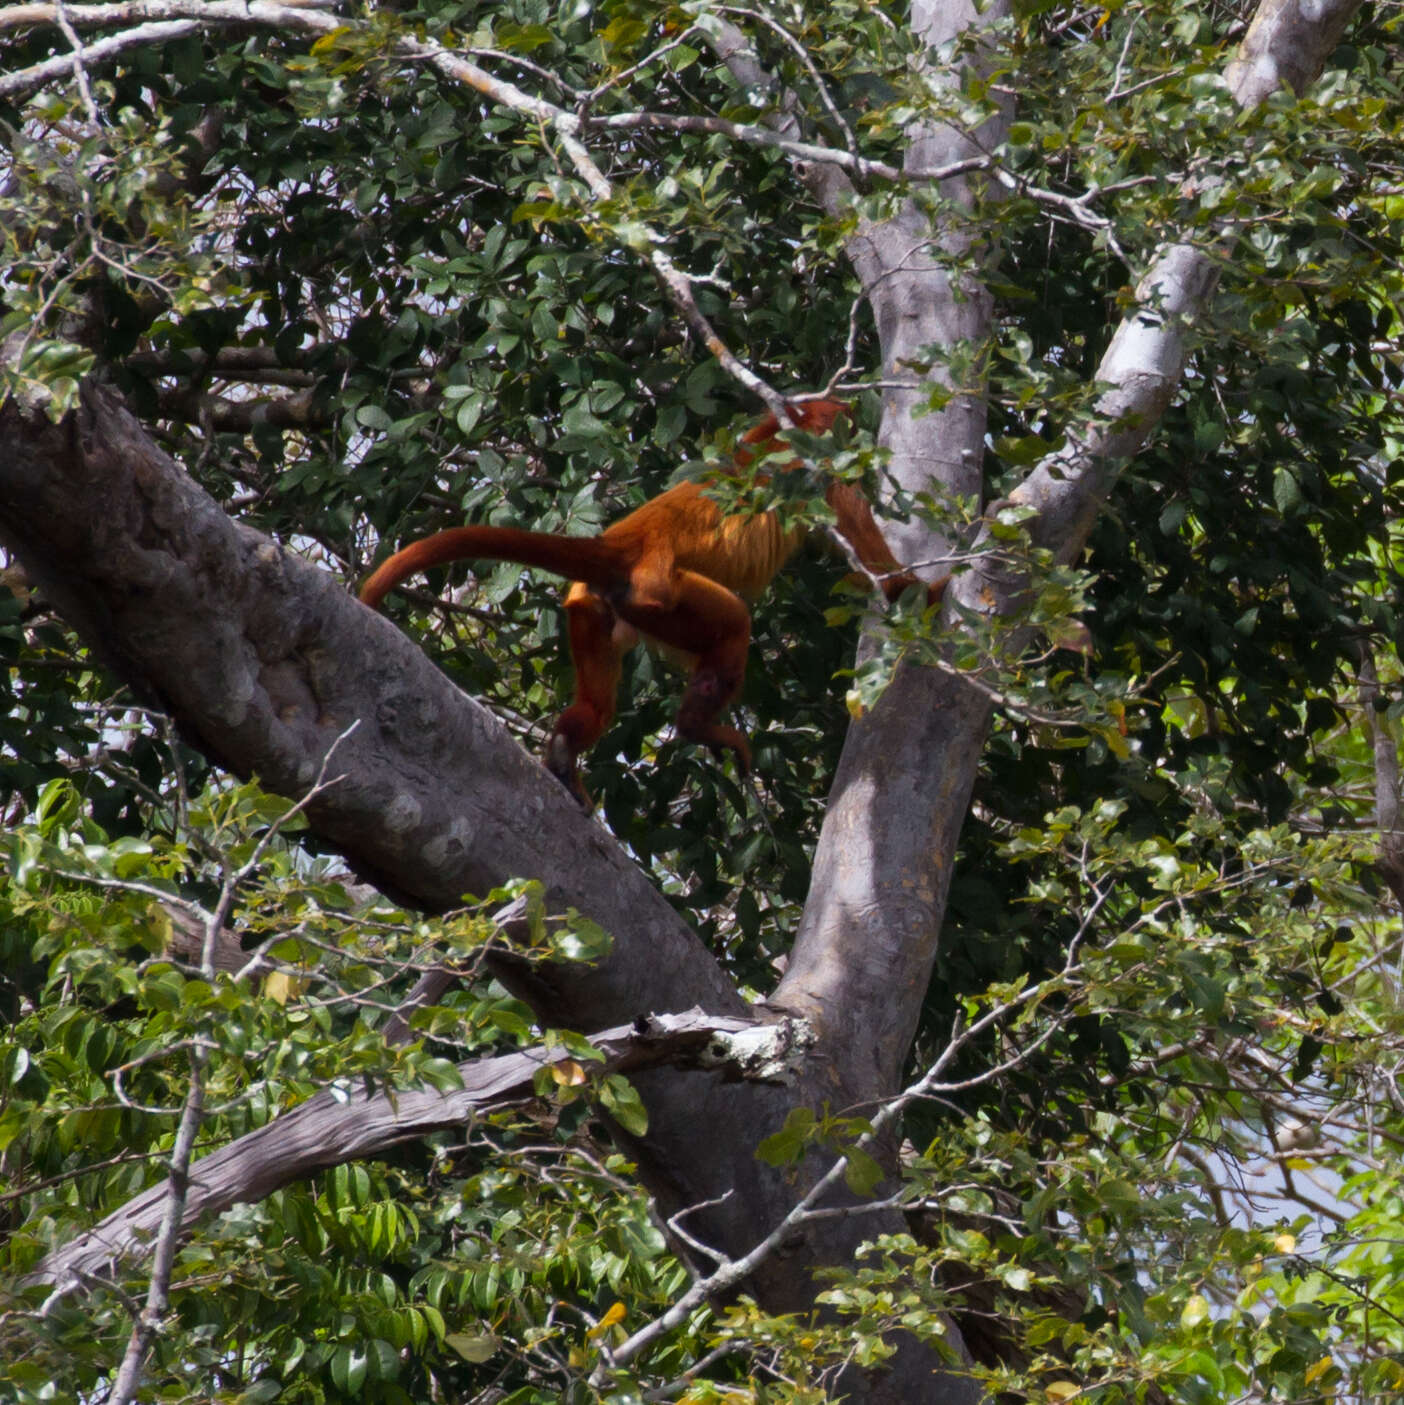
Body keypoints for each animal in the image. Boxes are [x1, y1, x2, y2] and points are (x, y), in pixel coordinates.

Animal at [359, 401, 944, 809]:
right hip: (662, 598)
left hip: (590, 609)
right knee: (734, 624)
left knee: (597, 706)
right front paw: (930, 592)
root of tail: (625, 542)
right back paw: (695, 726)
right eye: (845, 421)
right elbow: (881, 570)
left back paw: (566, 752)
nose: (861, 431)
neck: (784, 430)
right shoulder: (829, 476)